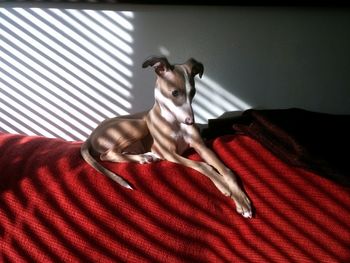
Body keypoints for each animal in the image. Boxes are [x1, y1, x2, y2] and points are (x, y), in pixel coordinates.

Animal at [81, 56, 252, 220]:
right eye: (175, 93)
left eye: (193, 92)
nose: (190, 121)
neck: (174, 121)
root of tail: (90, 136)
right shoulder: (169, 153)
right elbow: (203, 166)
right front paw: (223, 185)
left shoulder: (201, 146)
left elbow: (227, 170)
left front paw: (241, 199)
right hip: (139, 125)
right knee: (106, 155)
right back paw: (143, 157)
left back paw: (144, 156)